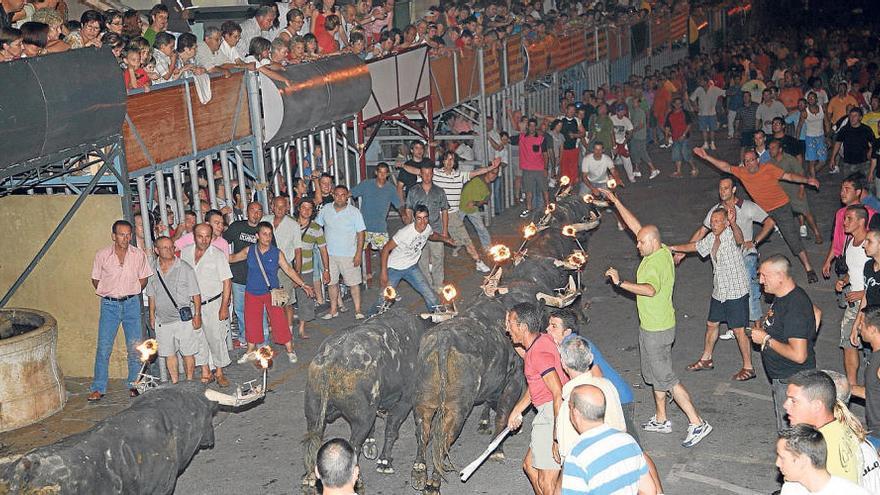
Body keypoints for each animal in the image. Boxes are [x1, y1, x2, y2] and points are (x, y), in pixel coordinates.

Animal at [302, 308, 426, 494]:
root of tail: (330, 360)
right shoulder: (404, 401)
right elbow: (391, 430)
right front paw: (384, 462)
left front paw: (371, 445)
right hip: (361, 421)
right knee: (353, 445)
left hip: (314, 417)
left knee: (314, 442)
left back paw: (309, 478)